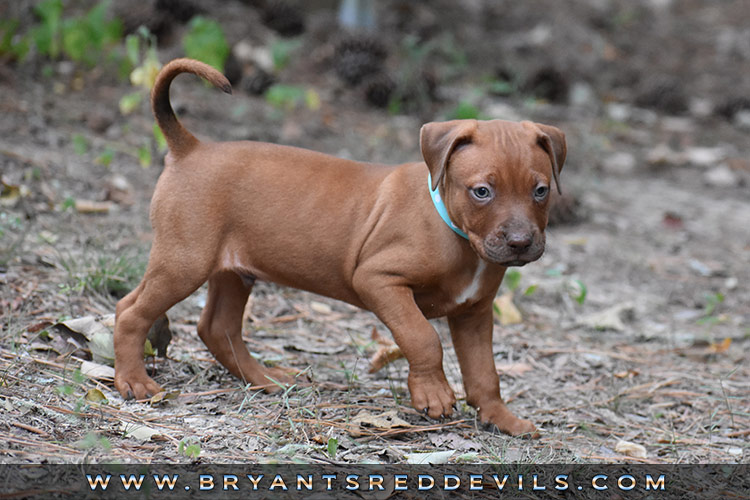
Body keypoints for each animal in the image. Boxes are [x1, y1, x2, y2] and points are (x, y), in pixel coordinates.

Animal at [114, 56, 568, 436]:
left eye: (541, 190)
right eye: (481, 192)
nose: (520, 242)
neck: (456, 233)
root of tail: (190, 147)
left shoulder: (474, 313)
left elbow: (485, 373)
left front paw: (502, 418)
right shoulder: (379, 280)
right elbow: (422, 337)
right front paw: (433, 395)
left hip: (233, 271)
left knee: (216, 328)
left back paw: (267, 380)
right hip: (184, 261)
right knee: (131, 311)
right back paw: (134, 381)